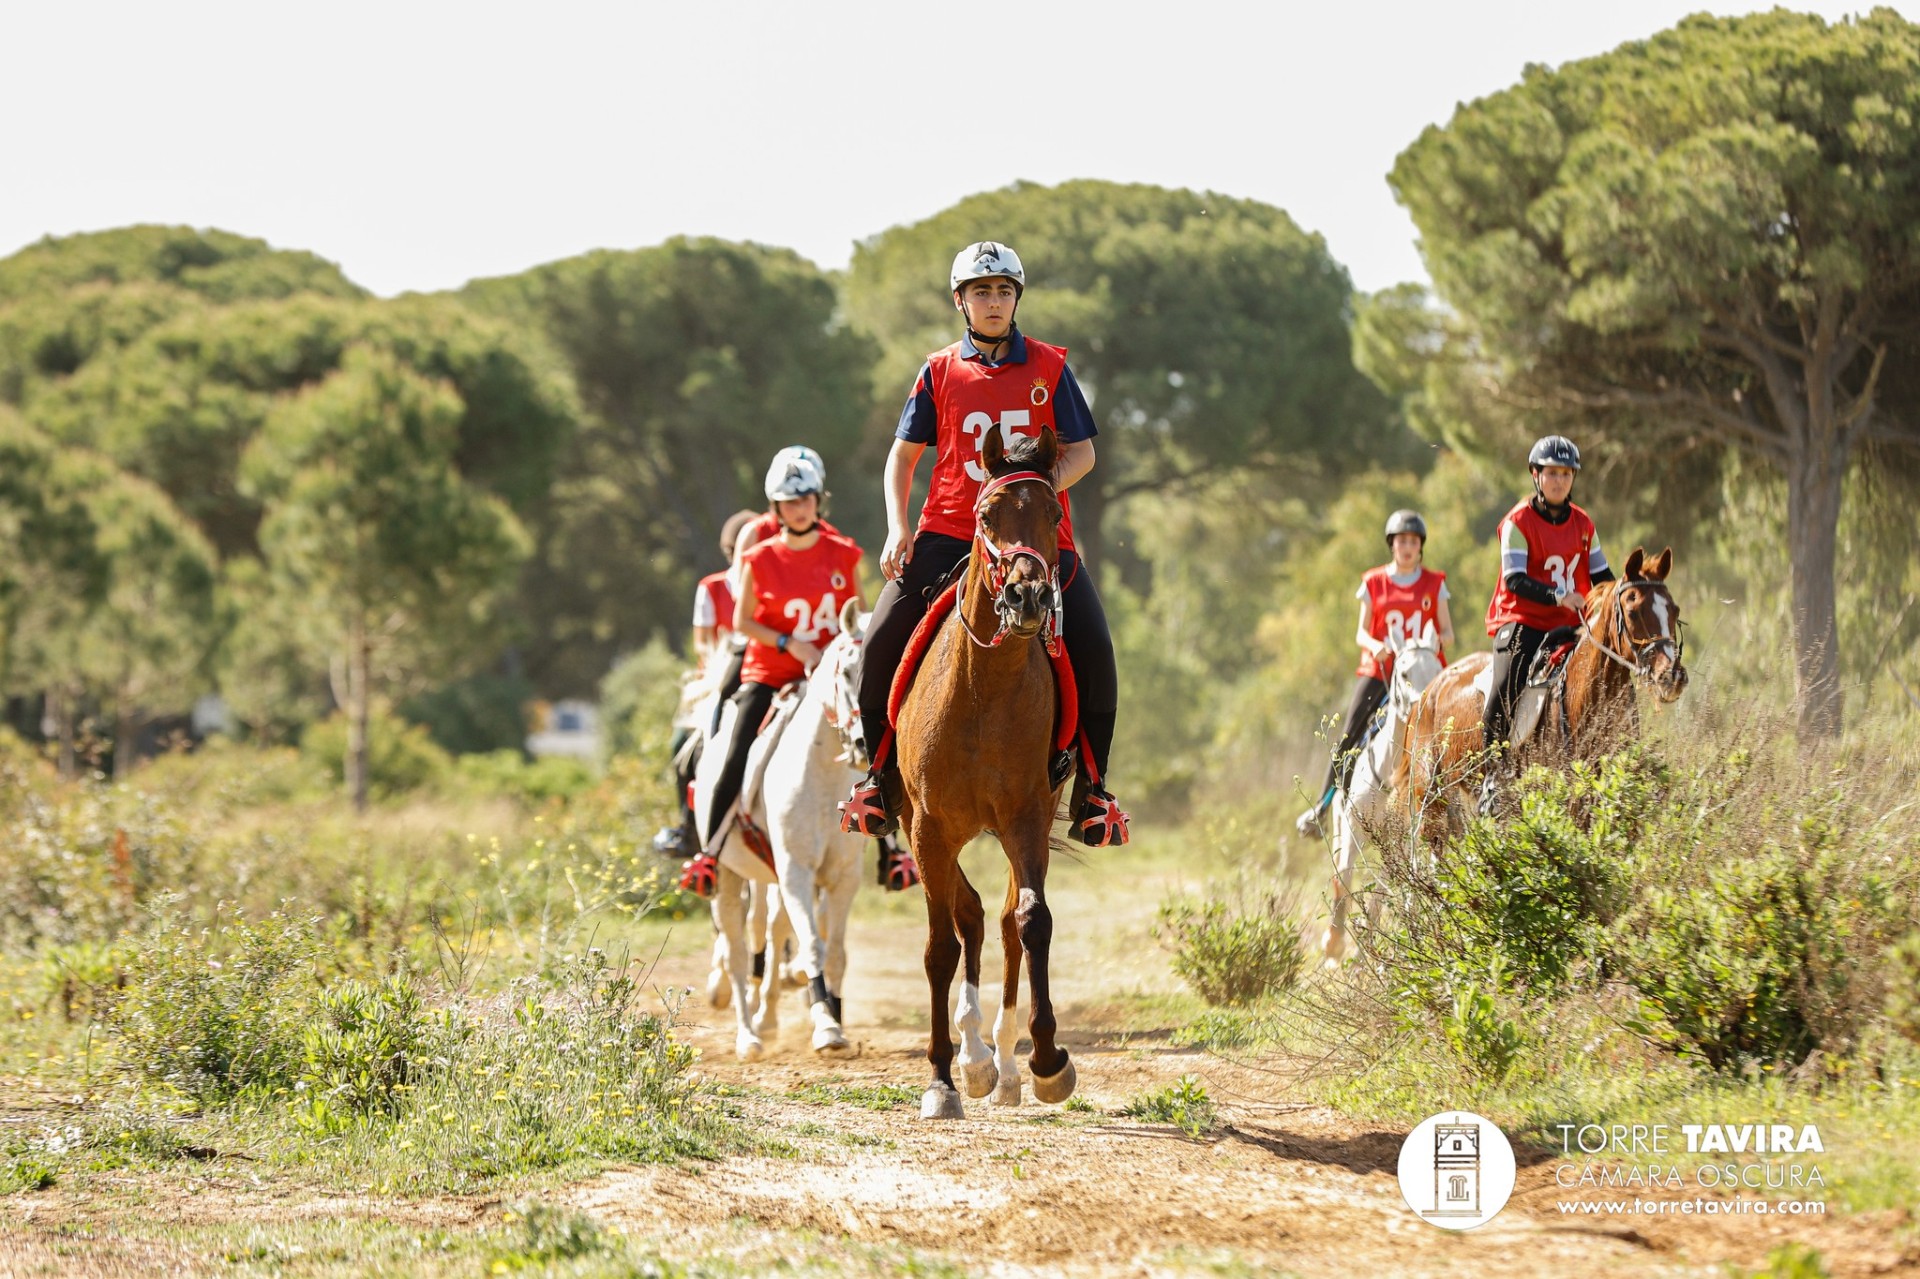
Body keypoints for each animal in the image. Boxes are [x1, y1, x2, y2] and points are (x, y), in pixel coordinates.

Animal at [894, 426, 1076, 1120]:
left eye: (1052, 514)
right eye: (988, 515)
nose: (1027, 597)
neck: (982, 692)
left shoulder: (1026, 817)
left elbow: (1032, 922)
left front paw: (1047, 1062)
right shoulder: (927, 827)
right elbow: (940, 947)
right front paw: (941, 1080)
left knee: (997, 921)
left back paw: (1001, 1064)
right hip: (924, 830)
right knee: (965, 915)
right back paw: (971, 1061)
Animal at [1321, 619, 1448, 965]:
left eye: (1437, 669)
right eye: (1403, 673)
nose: (1423, 708)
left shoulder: (1404, 838)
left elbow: (1387, 888)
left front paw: (1364, 946)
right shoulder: (1354, 828)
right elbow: (1345, 878)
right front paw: (1333, 944)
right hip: (1340, 824)